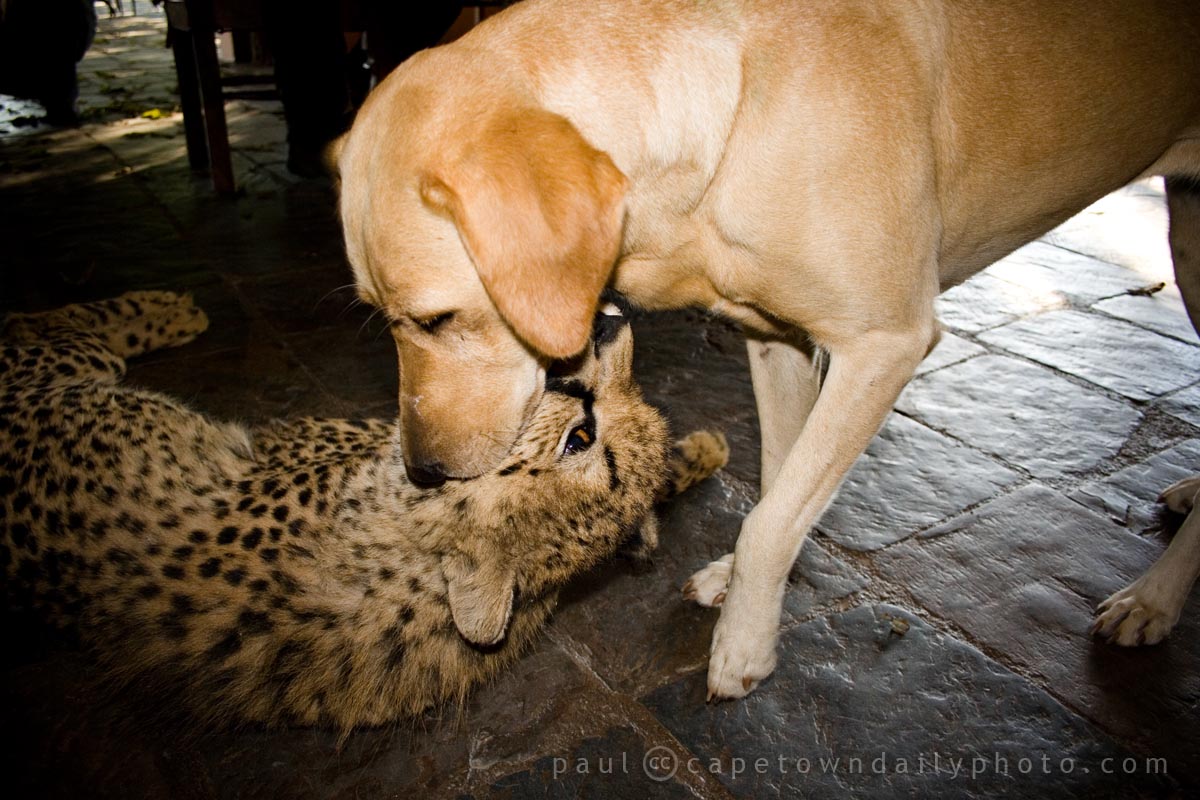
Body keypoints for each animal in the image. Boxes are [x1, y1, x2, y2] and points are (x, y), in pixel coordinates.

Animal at [0, 291, 728, 731]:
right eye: (580, 437)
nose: (616, 324)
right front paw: (697, 451)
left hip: (65, 371)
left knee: (46, 328)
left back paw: (174, 308)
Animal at [334, 0, 1200, 699]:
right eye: (379, 317)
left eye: (437, 318)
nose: (421, 471)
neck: (735, 107)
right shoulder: (775, 340)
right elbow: (780, 488)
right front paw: (753, 593)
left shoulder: (884, 345)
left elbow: (770, 520)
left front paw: (745, 646)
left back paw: (1154, 599)